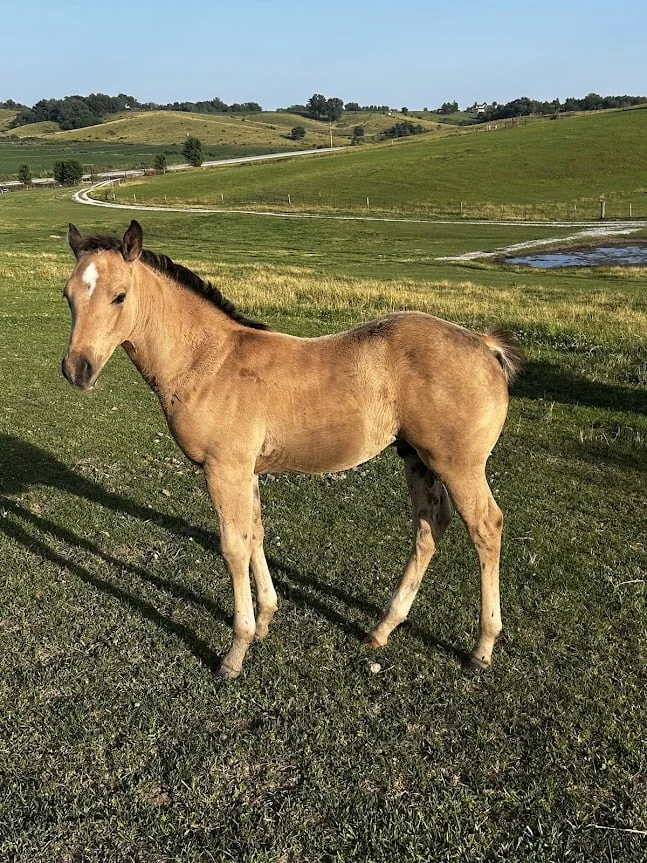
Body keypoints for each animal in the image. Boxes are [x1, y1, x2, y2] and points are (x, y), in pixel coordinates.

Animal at [62, 220, 522, 679]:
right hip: (416, 457)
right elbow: (256, 535)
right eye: (68, 295)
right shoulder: (247, 470)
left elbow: (233, 547)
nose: (76, 370)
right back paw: (382, 628)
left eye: (119, 295)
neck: (208, 361)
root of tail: (484, 344)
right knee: (430, 526)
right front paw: (266, 619)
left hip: (458, 464)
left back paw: (482, 647)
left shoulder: (224, 468)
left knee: (486, 527)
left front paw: (236, 651)